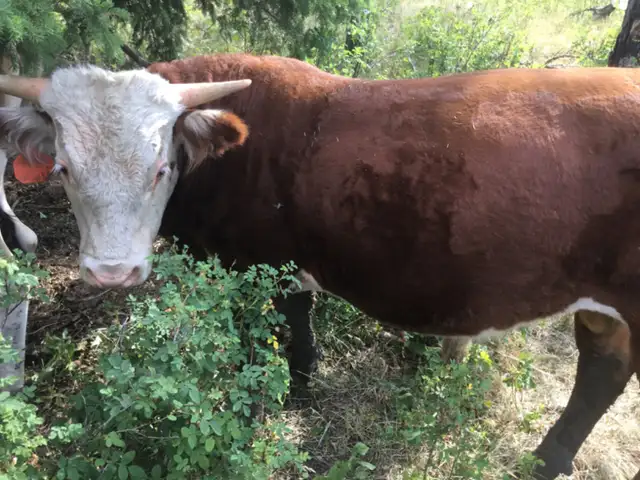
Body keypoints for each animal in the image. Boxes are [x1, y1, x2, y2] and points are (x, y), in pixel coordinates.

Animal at [1, 54, 639, 479]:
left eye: (160, 167)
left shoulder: (259, 262)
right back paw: (548, 459)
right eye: (63, 168)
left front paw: (285, 387)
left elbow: (277, 329)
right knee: (601, 373)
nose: (113, 272)